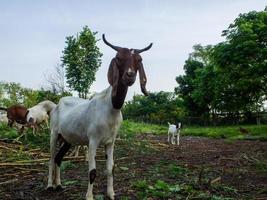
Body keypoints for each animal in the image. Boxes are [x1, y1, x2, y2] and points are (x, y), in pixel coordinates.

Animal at [47, 33, 154, 199]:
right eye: (118, 58)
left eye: (139, 59)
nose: (130, 76)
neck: (110, 108)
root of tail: (57, 105)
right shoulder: (93, 141)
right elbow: (92, 172)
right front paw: (89, 196)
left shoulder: (110, 142)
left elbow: (111, 168)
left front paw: (111, 194)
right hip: (54, 133)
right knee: (51, 159)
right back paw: (50, 185)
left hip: (68, 138)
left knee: (58, 158)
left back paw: (59, 185)